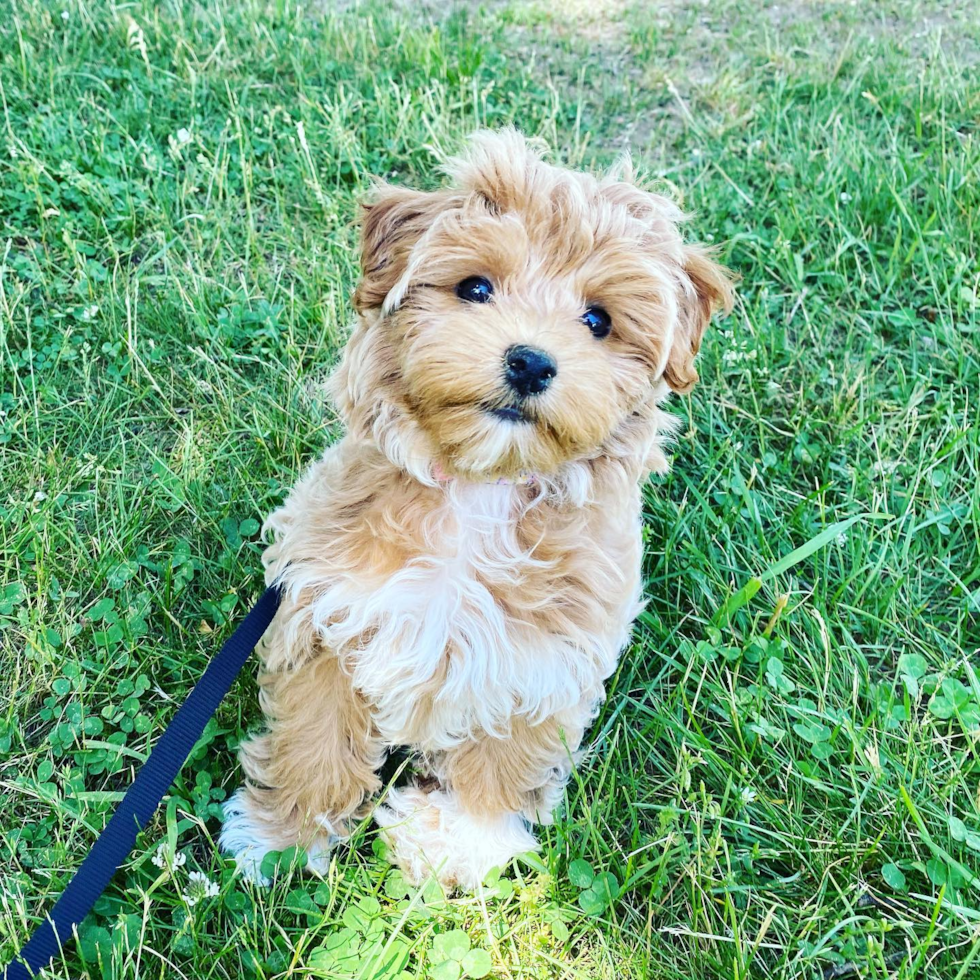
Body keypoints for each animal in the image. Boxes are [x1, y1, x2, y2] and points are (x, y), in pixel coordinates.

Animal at [218, 132, 732, 896]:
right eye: (475, 288)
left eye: (598, 320)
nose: (530, 362)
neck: (479, 489)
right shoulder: (324, 609)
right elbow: (316, 736)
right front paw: (284, 835)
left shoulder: (543, 661)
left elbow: (501, 759)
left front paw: (456, 842)